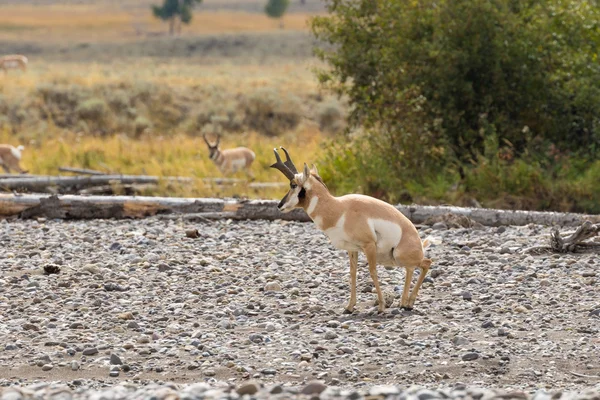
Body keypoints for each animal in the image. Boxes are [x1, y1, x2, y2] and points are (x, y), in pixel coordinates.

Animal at [270, 147, 432, 312]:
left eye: (293, 184)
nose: (279, 205)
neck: (339, 209)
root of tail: (419, 242)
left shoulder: (368, 246)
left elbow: (373, 272)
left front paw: (381, 306)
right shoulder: (352, 249)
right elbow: (353, 273)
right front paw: (349, 306)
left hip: (398, 256)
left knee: (426, 263)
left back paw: (407, 303)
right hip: (394, 259)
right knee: (414, 268)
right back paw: (405, 303)